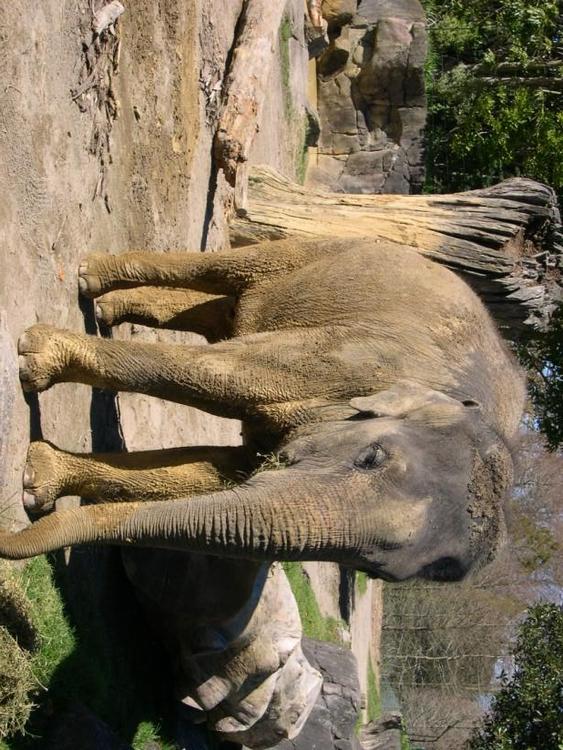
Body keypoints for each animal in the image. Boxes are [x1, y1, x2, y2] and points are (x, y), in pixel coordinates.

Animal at [0, 236, 524, 583]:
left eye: (375, 573)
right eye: (370, 457)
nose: (10, 531)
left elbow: (216, 473)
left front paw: (38, 483)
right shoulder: (352, 360)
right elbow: (223, 376)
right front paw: (34, 360)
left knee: (223, 312)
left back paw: (106, 310)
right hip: (329, 248)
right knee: (232, 268)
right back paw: (89, 277)